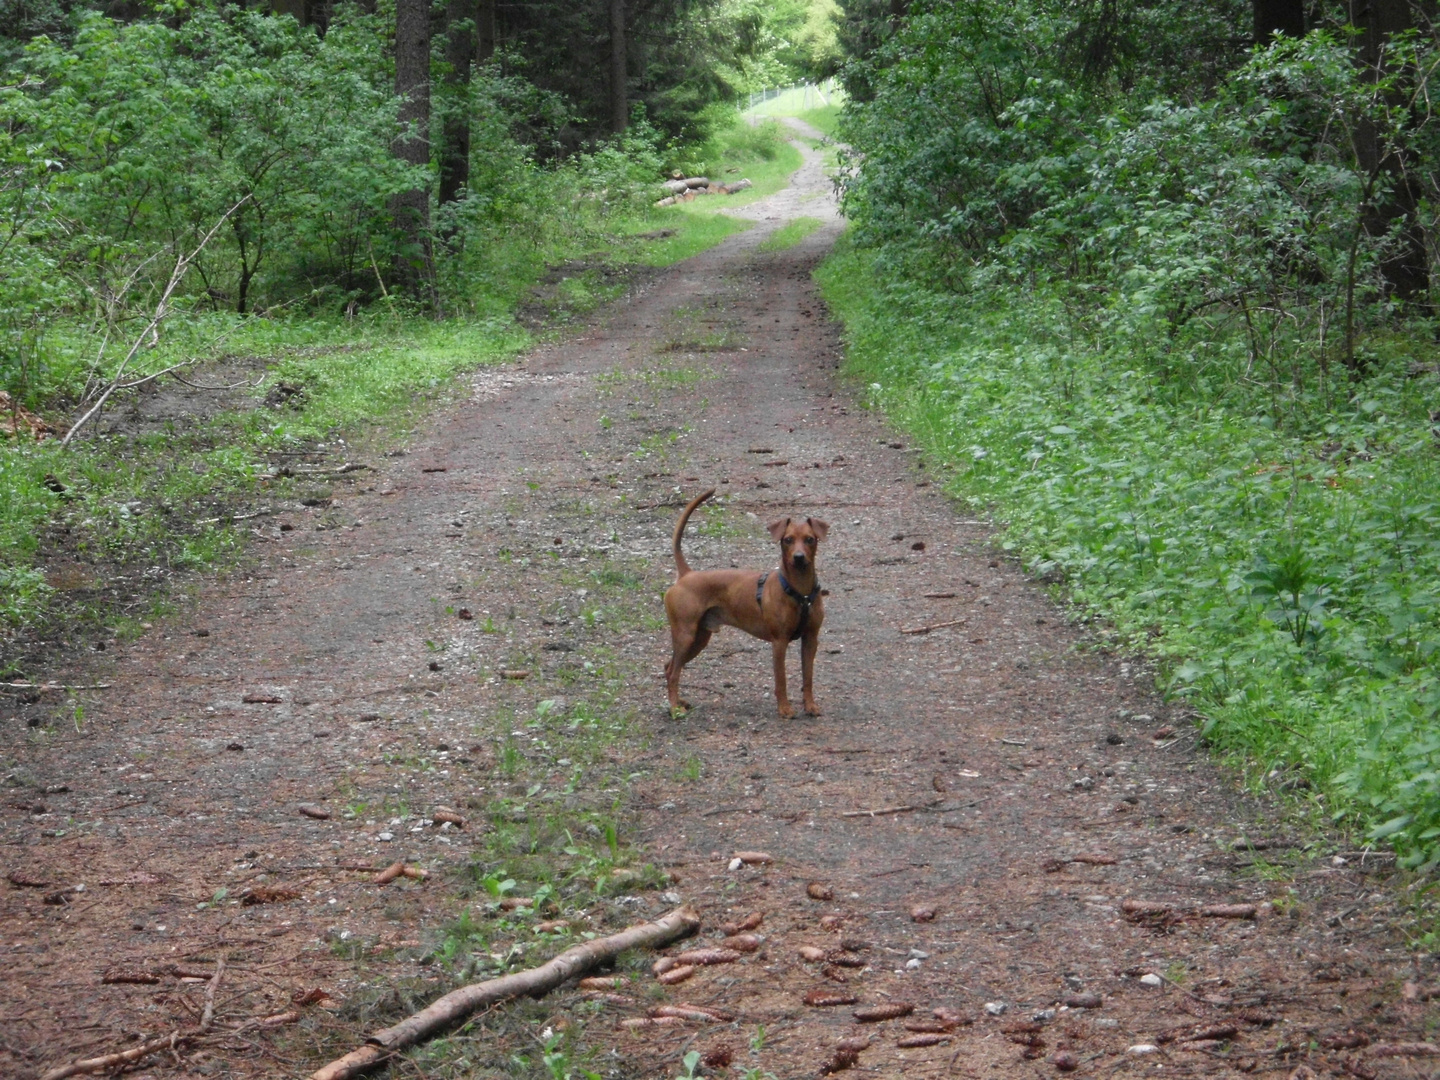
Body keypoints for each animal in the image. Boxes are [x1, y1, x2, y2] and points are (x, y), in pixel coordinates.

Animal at [665, 489, 835, 720]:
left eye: (810, 539)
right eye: (787, 540)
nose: (799, 557)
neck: (800, 591)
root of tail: (686, 574)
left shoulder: (810, 640)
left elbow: (807, 678)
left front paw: (810, 706)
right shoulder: (779, 642)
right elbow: (781, 680)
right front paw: (784, 709)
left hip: (699, 639)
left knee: (670, 666)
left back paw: (678, 701)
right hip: (685, 636)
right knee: (673, 672)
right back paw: (675, 708)